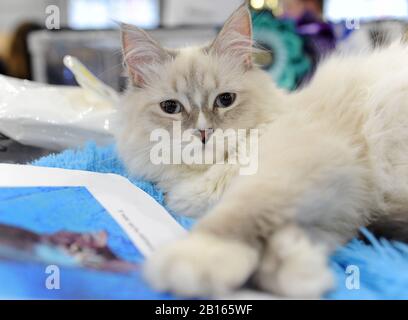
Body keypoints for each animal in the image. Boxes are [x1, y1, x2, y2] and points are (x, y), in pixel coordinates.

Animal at [115, 4, 408, 298]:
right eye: (171, 107)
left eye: (225, 100)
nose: (203, 133)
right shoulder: (344, 210)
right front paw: (299, 270)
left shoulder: (291, 169)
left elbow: (240, 213)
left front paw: (197, 258)